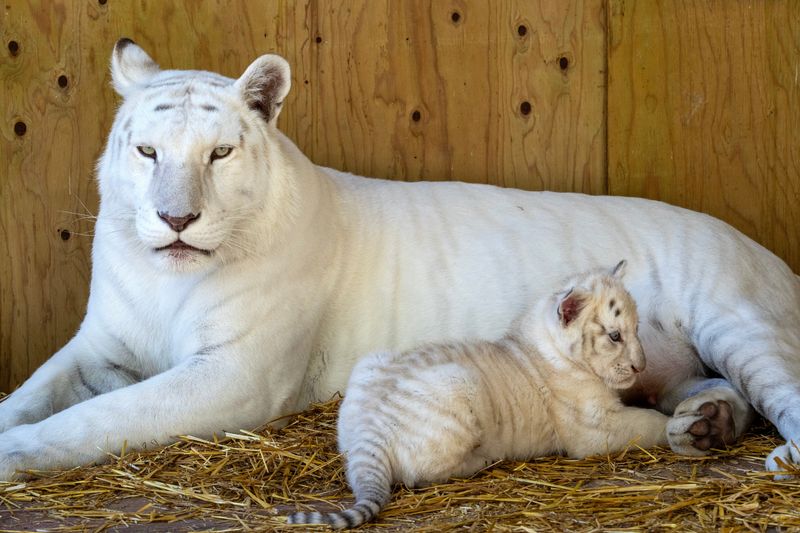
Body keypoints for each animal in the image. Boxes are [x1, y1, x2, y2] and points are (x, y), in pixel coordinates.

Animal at [0, 38, 798, 481]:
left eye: (219, 153)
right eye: (147, 151)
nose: (176, 220)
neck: (164, 279)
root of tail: (763, 247)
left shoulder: (235, 375)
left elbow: (98, 418)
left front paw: (14, 455)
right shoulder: (95, 347)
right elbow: (34, 393)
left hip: (742, 324)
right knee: (715, 390)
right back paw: (706, 423)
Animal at [289, 262, 675, 529]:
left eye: (637, 329)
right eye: (614, 336)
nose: (641, 365)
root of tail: (369, 432)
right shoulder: (596, 429)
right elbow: (648, 423)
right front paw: (677, 423)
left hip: (369, 365)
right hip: (462, 386)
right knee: (424, 473)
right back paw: (483, 459)